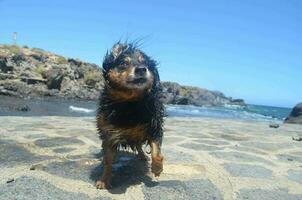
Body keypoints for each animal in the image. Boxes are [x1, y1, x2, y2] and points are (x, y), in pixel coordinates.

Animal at [95, 42, 164, 189]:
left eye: (145, 63)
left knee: (139, 145)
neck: (130, 103)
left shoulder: (154, 126)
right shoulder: (109, 133)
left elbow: (157, 153)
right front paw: (104, 180)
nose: (142, 69)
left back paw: (143, 156)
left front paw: (157, 168)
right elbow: (108, 161)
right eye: (123, 63)